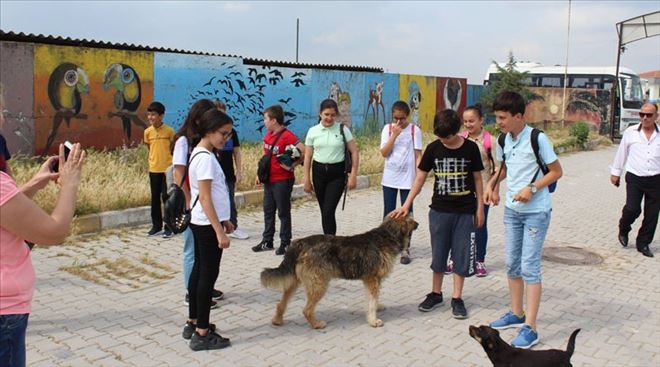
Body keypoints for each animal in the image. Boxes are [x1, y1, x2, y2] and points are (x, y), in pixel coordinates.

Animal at [260, 214, 416, 330]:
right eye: (410, 219)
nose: (418, 224)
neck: (386, 236)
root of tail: (300, 242)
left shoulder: (370, 280)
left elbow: (372, 299)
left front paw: (377, 308)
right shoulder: (372, 279)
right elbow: (372, 300)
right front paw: (373, 320)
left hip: (295, 281)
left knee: (281, 303)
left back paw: (277, 320)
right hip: (318, 283)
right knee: (307, 309)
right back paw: (317, 324)